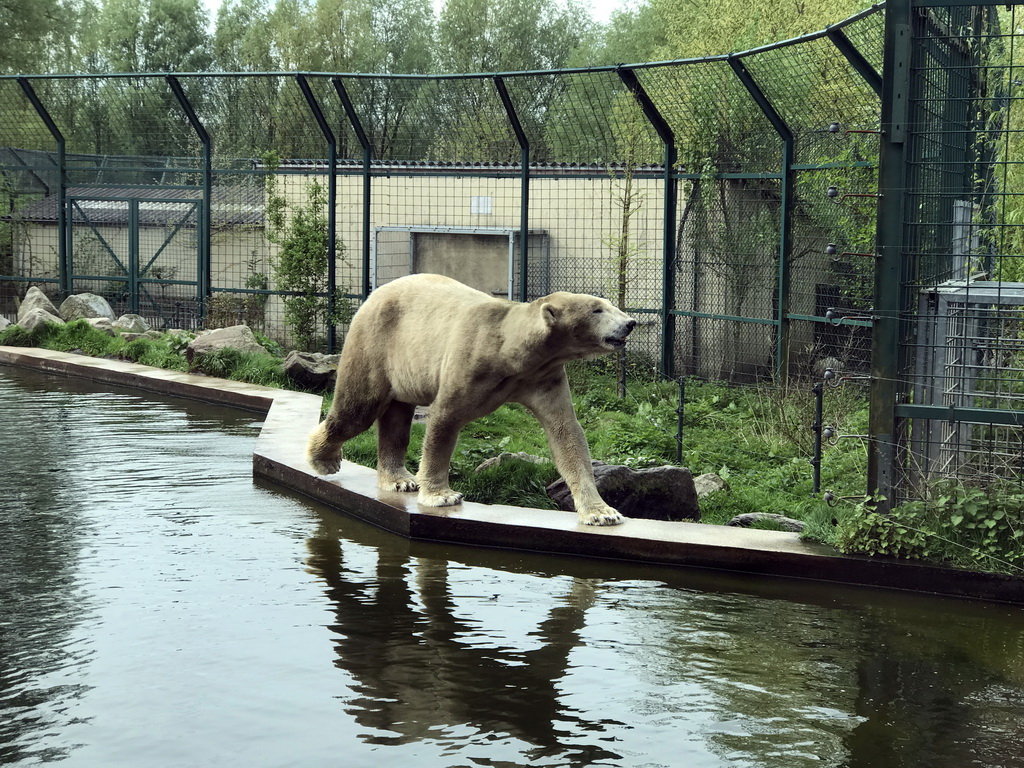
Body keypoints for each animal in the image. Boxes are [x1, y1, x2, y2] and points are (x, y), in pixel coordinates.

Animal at [307, 274, 634, 528]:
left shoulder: (543, 376)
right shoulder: (471, 361)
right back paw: (324, 459)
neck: (511, 349)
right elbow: (444, 420)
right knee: (358, 408)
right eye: (597, 309)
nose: (630, 322)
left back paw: (399, 480)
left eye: (607, 304)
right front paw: (441, 495)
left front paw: (602, 513)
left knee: (397, 416)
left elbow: (566, 432)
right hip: (376, 343)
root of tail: (374, 294)